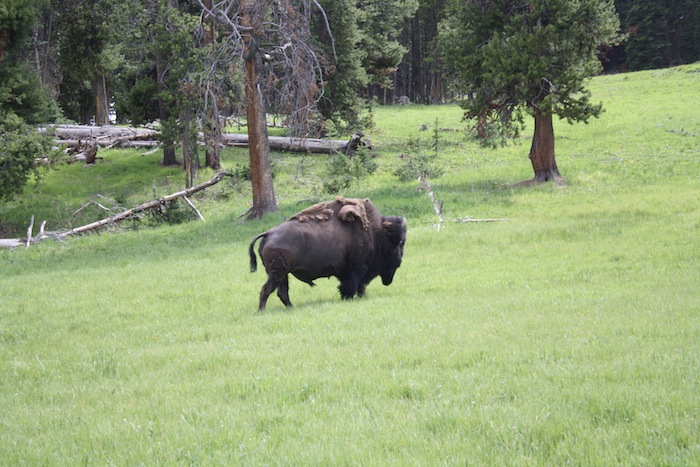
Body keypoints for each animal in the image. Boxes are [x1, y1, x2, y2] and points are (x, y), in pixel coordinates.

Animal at [249, 197, 407, 310]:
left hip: (282, 274)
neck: (377, 233)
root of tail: (269, 233)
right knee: (266, 290)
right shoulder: (357, 269)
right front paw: (349, 298)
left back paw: (291, 308)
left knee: (282, 293)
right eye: (400, 242)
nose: (400, 261)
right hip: (277, 273)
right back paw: (262, 311)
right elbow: (352, 285)